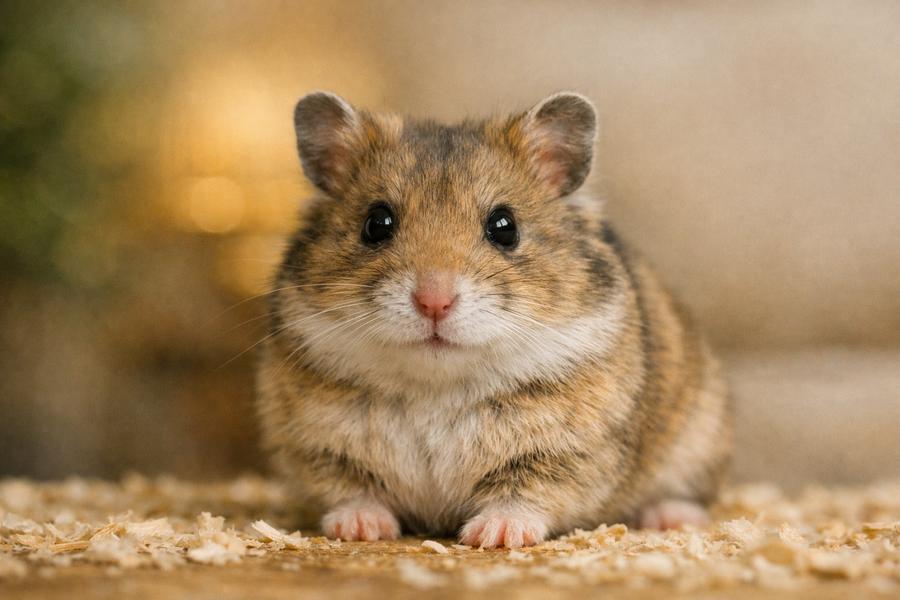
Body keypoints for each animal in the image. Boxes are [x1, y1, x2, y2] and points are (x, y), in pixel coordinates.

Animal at [256, 91, 732, 548]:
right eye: (376, 223)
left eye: (505, 227)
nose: (434, 302)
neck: (436, 386)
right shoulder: (316, 445)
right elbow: (351, 490)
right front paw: (359, 528)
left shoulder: (568, 452)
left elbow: (525, 494)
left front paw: (493, 536)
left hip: (700, 434)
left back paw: (671, 516)